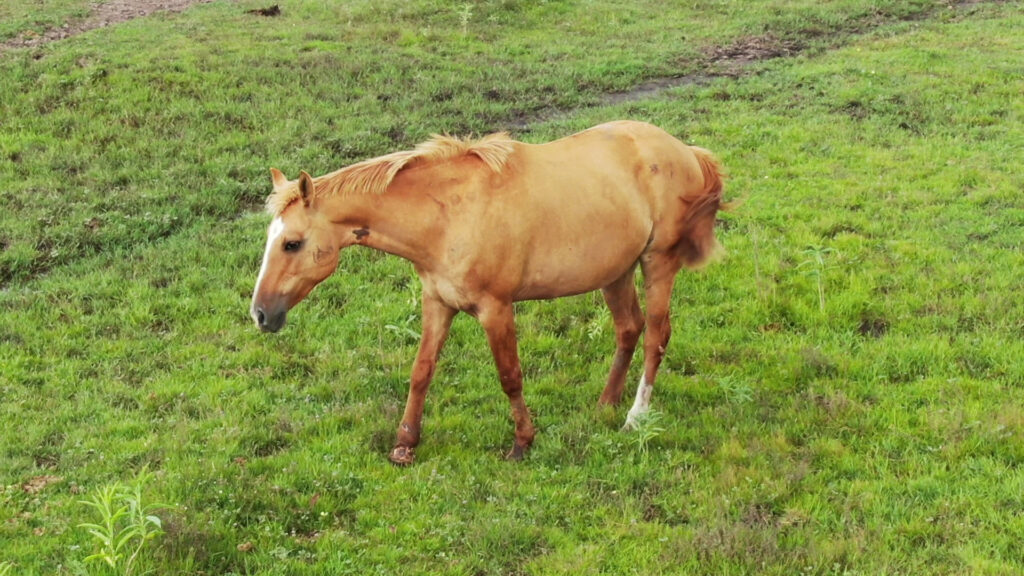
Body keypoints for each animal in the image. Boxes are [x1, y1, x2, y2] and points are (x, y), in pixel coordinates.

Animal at [250, 118, 724, 463]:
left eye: (292, 243)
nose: (260, 314)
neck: (447, 215)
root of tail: (687, 152)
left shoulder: (496, 309)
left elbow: (510, 376)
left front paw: (523, 441)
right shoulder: (438, 302)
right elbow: (421, 371)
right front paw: (405, 443)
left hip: (658, 263)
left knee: (656, 336)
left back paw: (634, 417)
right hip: (616, 271)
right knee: (629, 329)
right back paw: (606, 403)